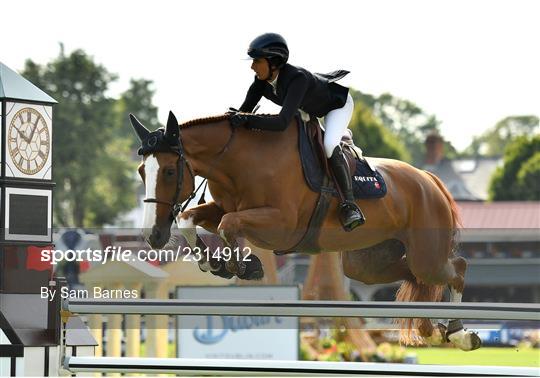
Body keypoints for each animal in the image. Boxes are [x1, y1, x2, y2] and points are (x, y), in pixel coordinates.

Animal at [130, 110, 480, 352]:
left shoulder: (281, 225)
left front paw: (243, 266)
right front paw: (213, 263)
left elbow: (228, 224)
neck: (239, 161)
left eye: (170, 171)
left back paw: (459, 333)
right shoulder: (224, 207)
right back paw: (429, 328)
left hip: (427, 254)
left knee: (457, 268)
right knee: (414, 278)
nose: (153, 237)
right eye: (141, 171)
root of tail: (429, 179)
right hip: (367, 265)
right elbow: (191, 218)